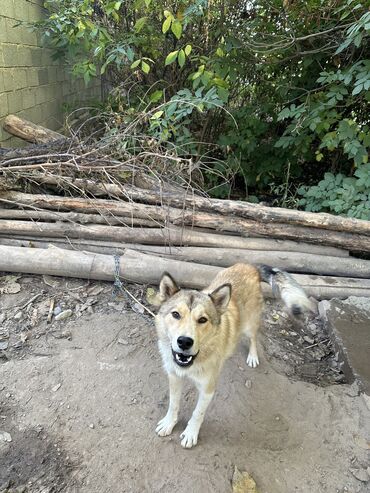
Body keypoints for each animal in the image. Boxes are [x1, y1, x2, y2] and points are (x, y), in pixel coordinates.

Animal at [152, 264, 314, 448]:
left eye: (202, 319)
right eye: (176, 314)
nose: (185, 342)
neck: (194, 362)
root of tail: (251, 266)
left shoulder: (207, 390)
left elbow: (197, 413)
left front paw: (191, 433)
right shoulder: (174, 377)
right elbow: (173, 404)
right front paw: (169, 423)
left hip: (250, 324)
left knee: (253, 338)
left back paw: (252, 356)